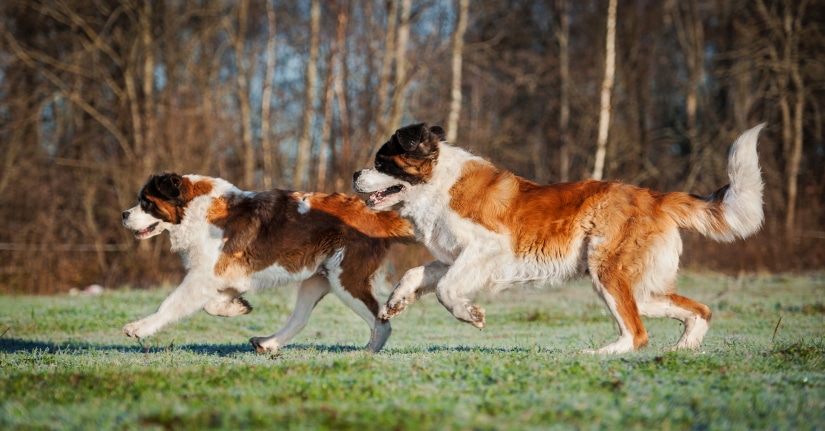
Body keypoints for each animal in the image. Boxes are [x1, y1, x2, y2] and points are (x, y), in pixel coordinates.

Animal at [120, 174, 412, 352]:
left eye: (146, 203)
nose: (123, 214)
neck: (194, 209)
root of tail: (375, 215)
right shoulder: (228, 275)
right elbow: (212, 305)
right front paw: (237, 307)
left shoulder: (202, 277)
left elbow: (170, 304)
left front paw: (140, 328)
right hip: (318, 278)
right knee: (300, 318)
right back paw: (269, 343)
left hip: (347, 280)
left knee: (381, 321)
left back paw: (367, 352)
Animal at [350, 122, 764, 354]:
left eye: (382, 162)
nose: (355, 173)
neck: (437, 183)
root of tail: (653, 196)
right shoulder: (454, 258)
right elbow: (418, 274)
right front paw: (395, 302)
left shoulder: (486, 248)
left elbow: (446, 289)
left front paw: (471, 315)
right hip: (642, 289)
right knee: (697, 311)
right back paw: (683, 349)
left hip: (608, 274)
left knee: (636, 332)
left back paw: (597, 355)